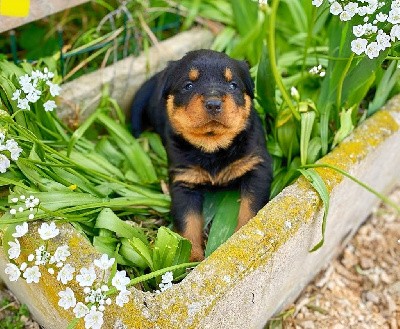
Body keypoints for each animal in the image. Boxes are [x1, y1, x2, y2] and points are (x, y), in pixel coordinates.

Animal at [131, 48, 272, 260]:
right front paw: (189, 258)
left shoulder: (256, 166)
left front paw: (241, 235)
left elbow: (250, 208)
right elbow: (188, 220)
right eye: (188, 86)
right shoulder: (184, 179)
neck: (212, 147)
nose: (213, 103)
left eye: (233, 85)